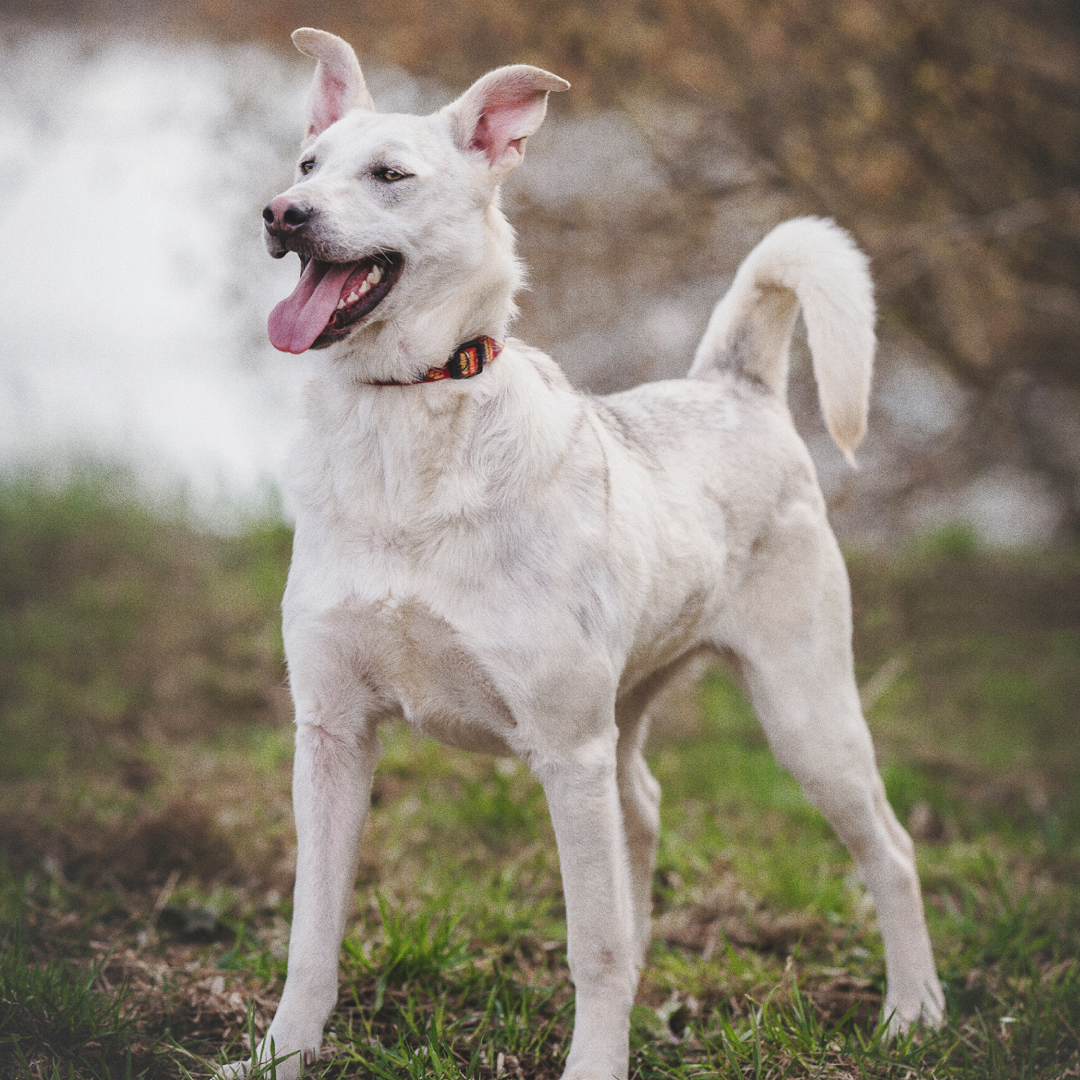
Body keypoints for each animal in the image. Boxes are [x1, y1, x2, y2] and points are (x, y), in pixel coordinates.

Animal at [232, 27, 941, 1080]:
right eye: (307, 165)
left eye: (390, 175)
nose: (281, 213)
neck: (407, 418)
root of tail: (734, 387)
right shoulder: (330, 734)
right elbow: (311, 932)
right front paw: (281, 1054)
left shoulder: (566, 753)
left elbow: (592, 943)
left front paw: (597, 1060)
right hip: (631, 711)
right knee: (641, 806)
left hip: (806, 716)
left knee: (889, 851)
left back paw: (912, 1011)